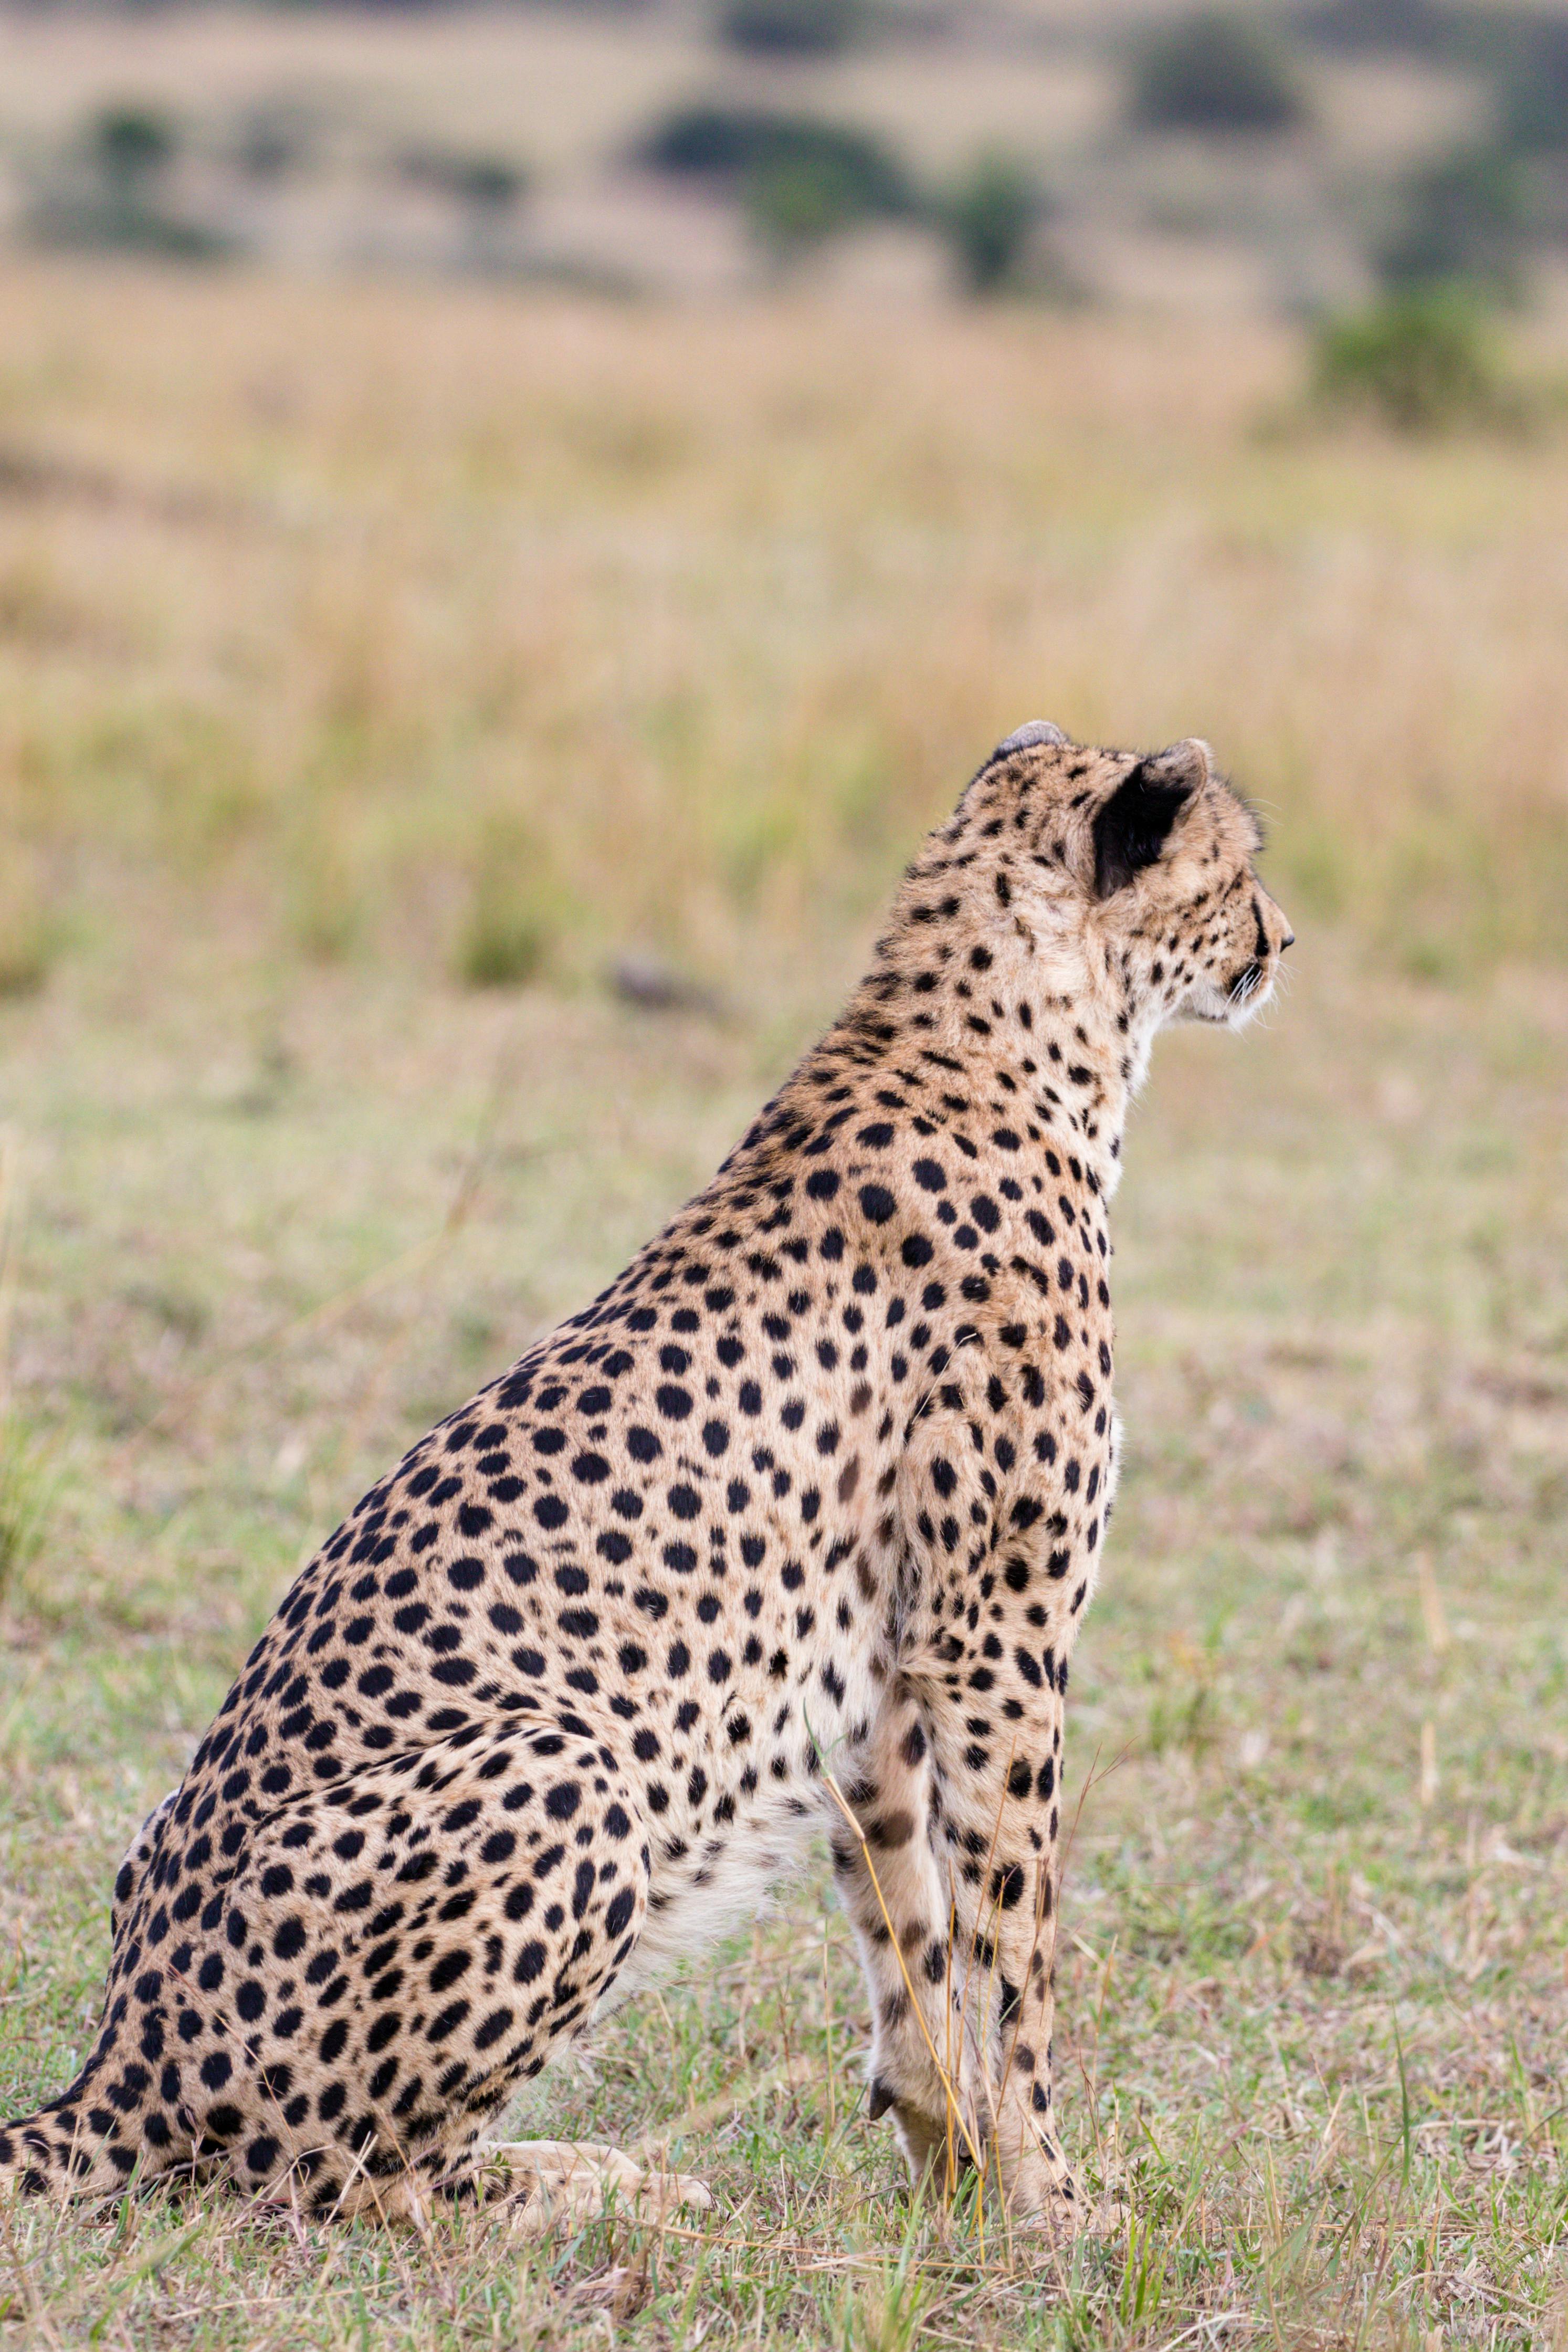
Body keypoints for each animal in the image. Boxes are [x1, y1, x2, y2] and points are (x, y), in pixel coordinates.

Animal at [0, 733, 1298, 2239]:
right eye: (1236, 869)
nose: (1280, 939)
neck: (1010, 1037)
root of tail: (121, 2058)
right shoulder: (993, 1642)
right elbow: (1012, 1942)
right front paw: (1050, 2196)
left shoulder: (877, 1671)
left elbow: (910, 1936)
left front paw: (955, 2174)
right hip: (568, 1771)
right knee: (328, 2181)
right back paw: (592, 2186)